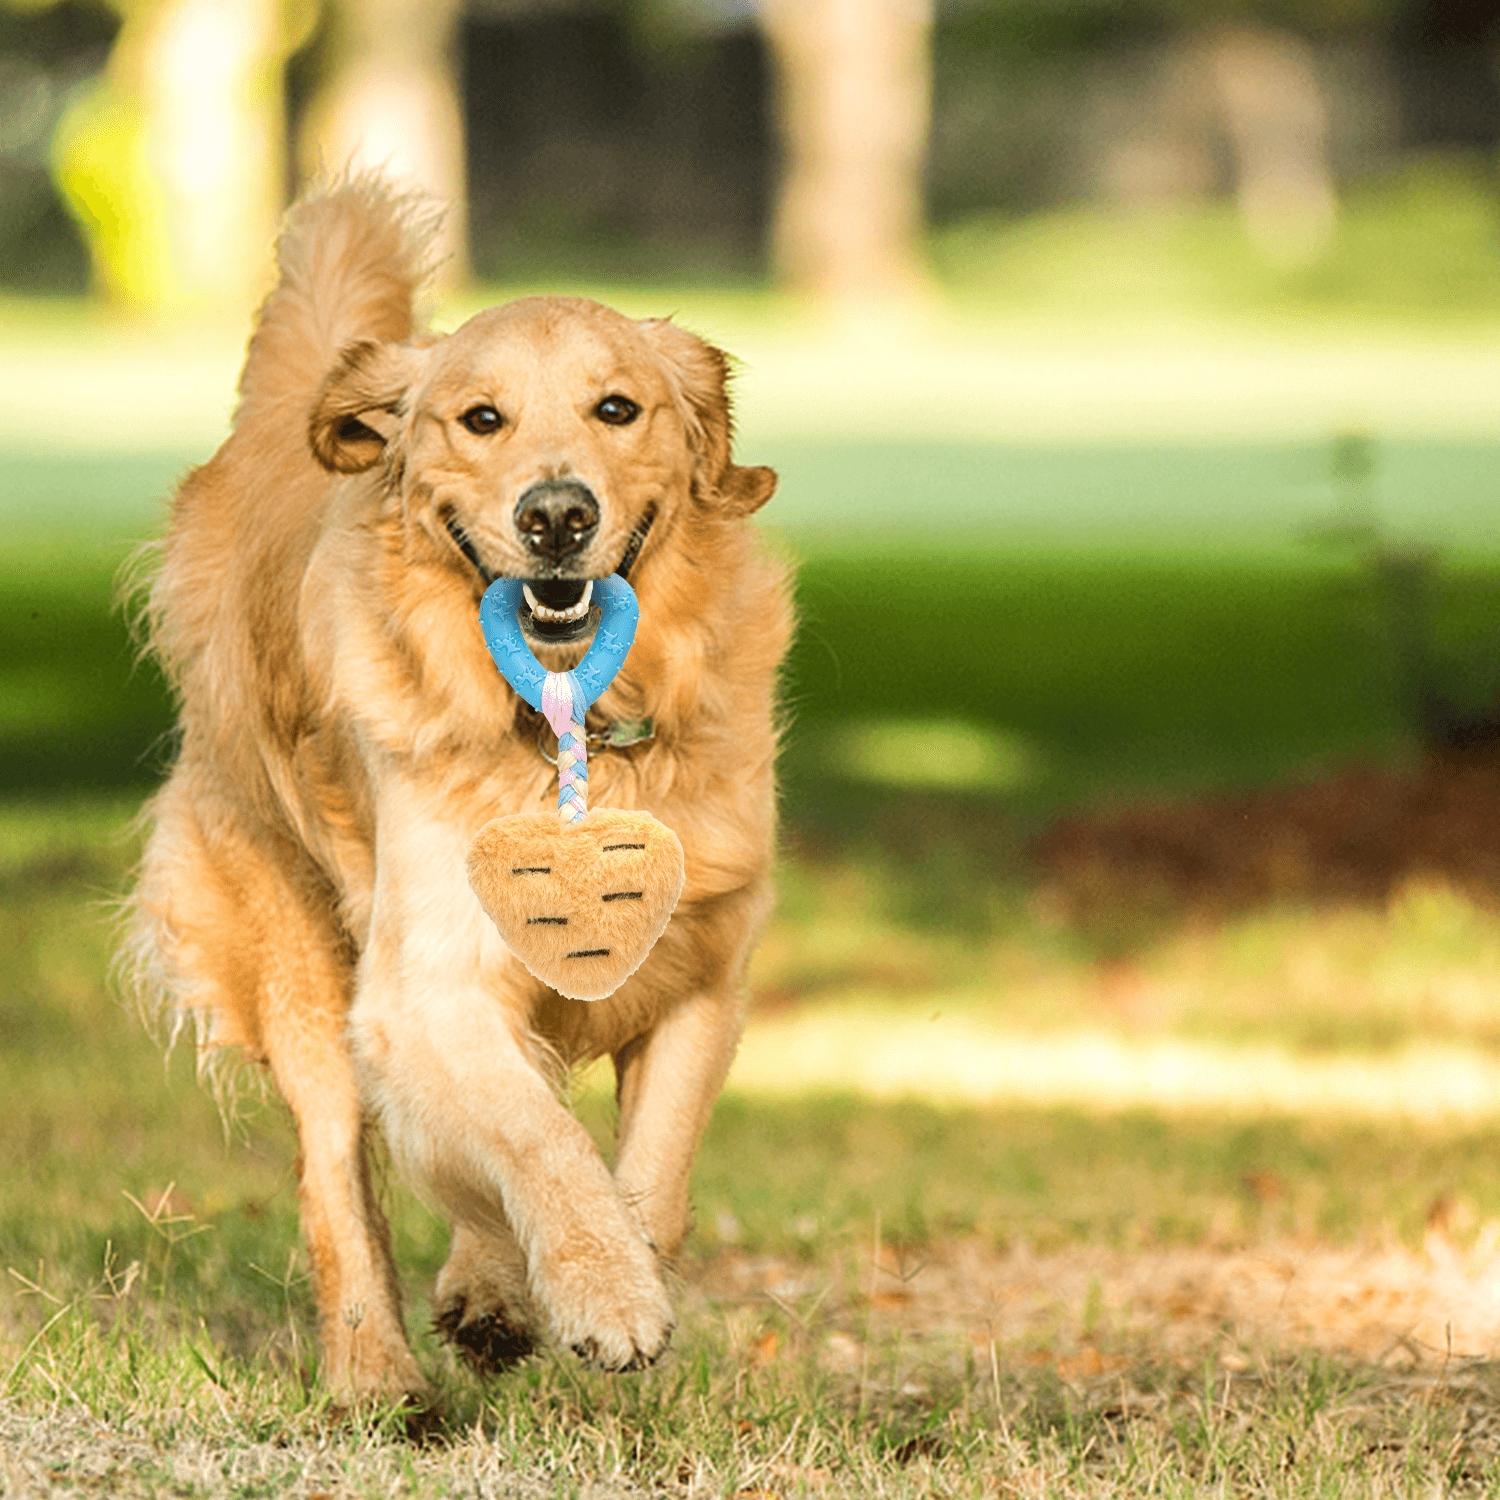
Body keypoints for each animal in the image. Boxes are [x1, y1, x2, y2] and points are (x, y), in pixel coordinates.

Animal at [126, 181, 798, 1398]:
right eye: (480, 420)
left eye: (618, 408)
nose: (557, 515)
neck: (573, 729)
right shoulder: (427, 979)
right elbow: (536, 1139)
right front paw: (605, 1293)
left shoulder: (705, 968)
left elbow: (650, 1173)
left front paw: (600, 1268)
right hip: (295, 943)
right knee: (337, 1169)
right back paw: (376, 1372)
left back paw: (486, 1293)